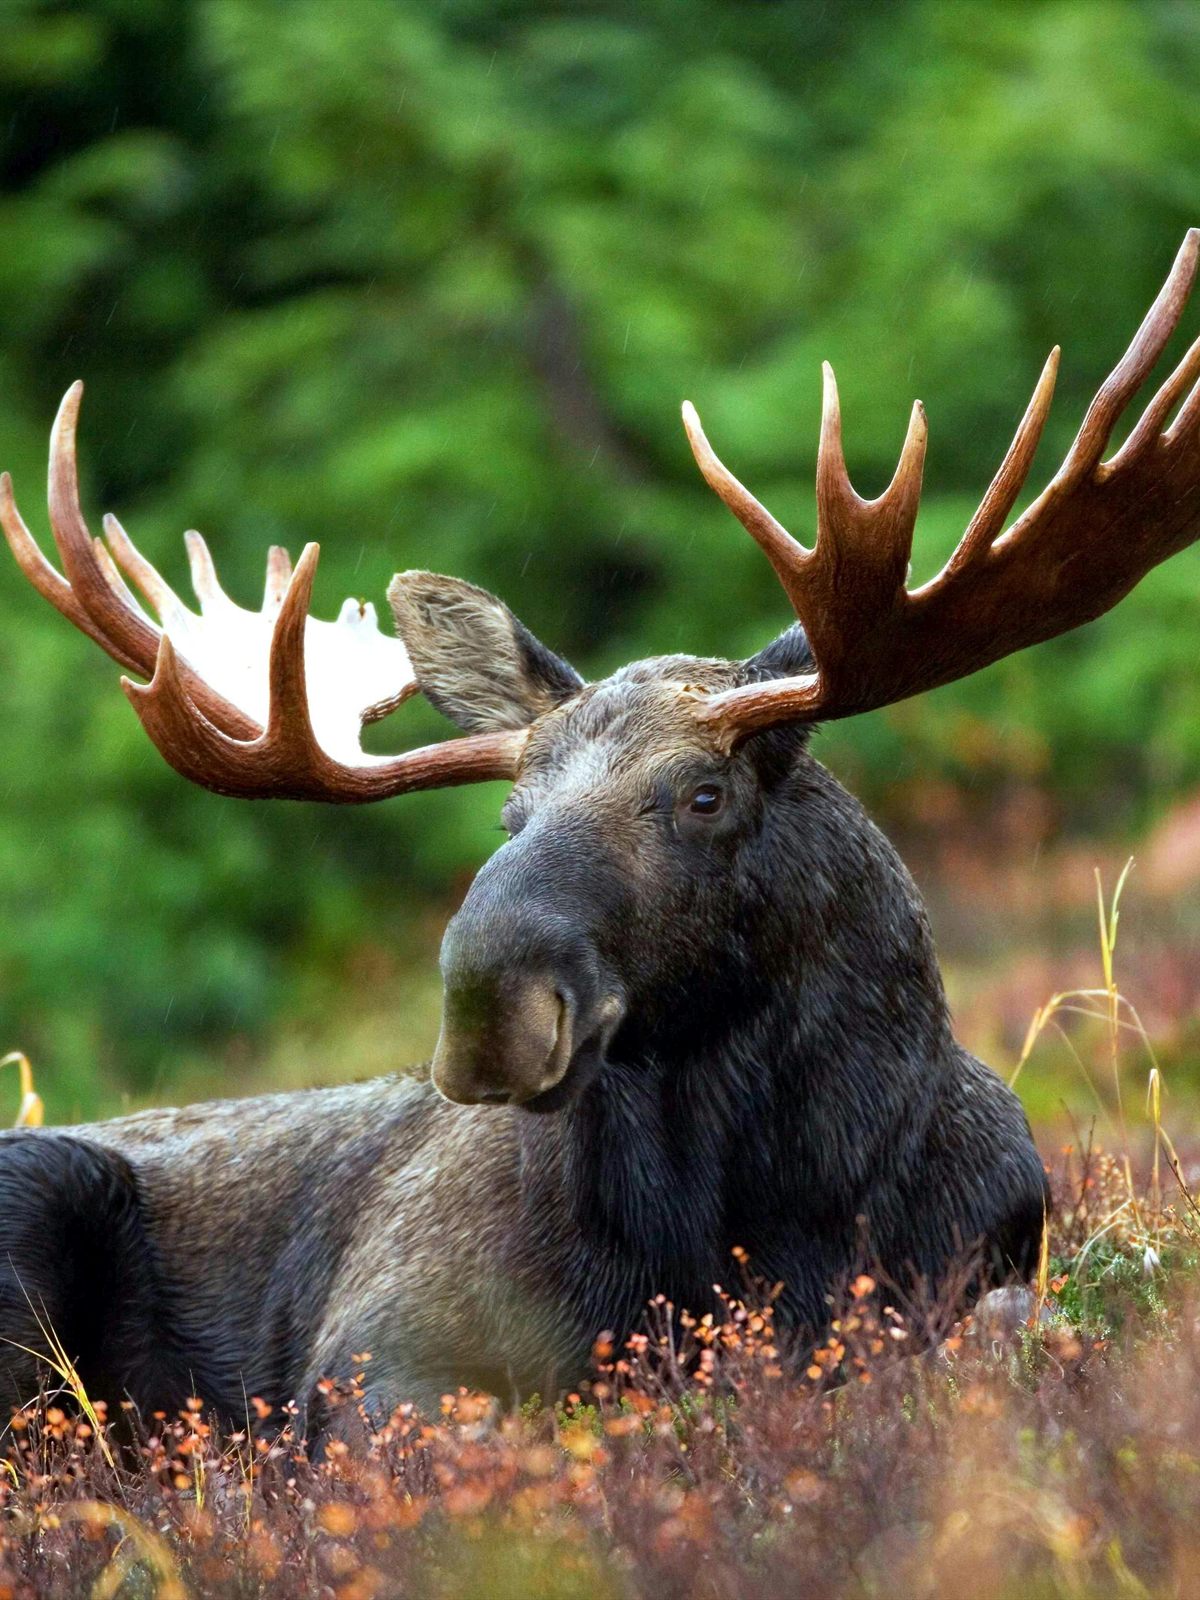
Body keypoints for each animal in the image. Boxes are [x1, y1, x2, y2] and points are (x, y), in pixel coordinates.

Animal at [1, 232, 1198, 1439]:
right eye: (511, 812)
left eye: (705, 795)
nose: (490, 1009)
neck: (771, 1215)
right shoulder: (376, 1347)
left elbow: (1008, 1324)